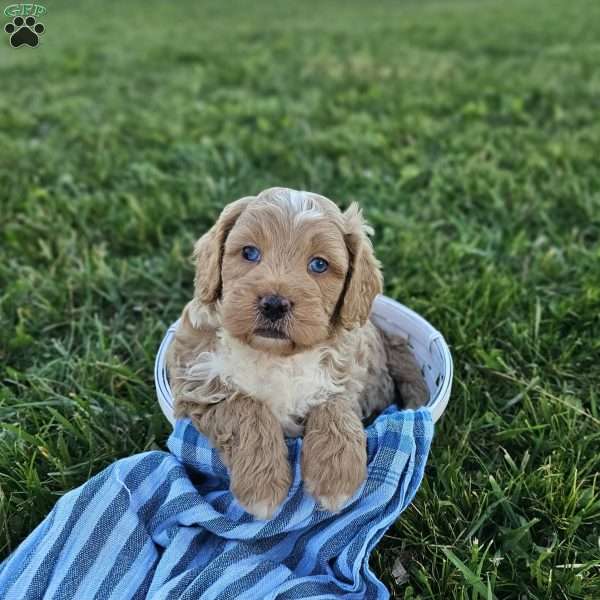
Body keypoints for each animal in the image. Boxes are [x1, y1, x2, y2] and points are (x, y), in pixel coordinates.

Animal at [168, 189, 426, 520]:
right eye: (249, 253)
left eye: (318, 265)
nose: (274, 304)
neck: (275, 356)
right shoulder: (198, 383)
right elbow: (247, 408)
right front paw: (262, 487)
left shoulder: (347, 375)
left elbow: (334, 407)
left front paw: (336, 478)